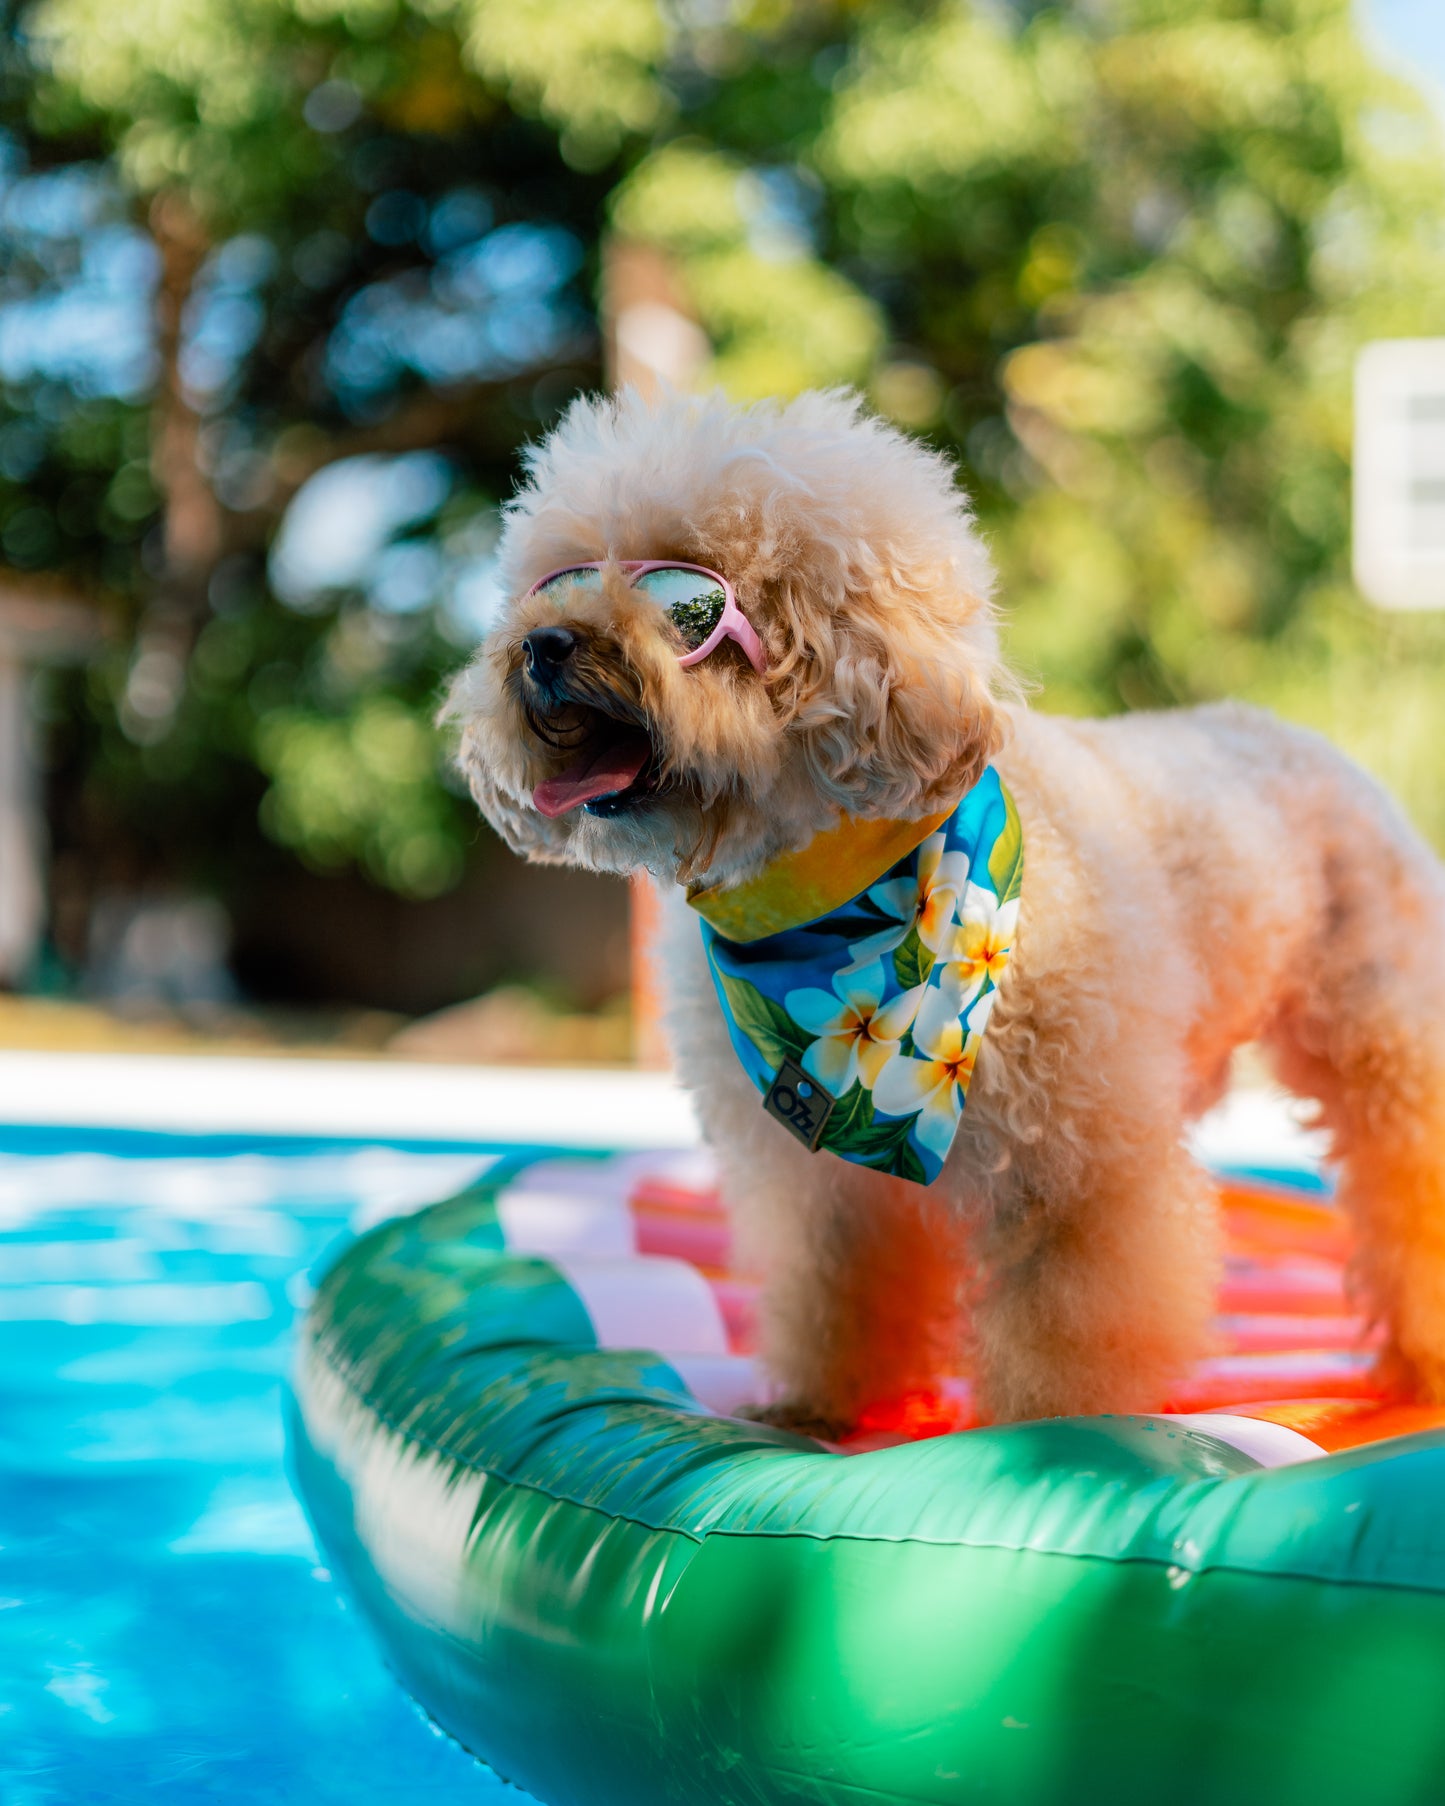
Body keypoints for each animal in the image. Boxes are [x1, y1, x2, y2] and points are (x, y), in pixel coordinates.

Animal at [446, 381, 1445, 1423]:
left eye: (691, 601)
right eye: (557, 579)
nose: (541, 645)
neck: (835, 907)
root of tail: (1292, 734)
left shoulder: (1075, 1171)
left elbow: (1068, 1326)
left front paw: (1054, 1437)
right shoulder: (821, 1183)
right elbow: (834, 1286)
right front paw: (817, 1408)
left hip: (1384, 1046)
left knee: (1404, 1186)